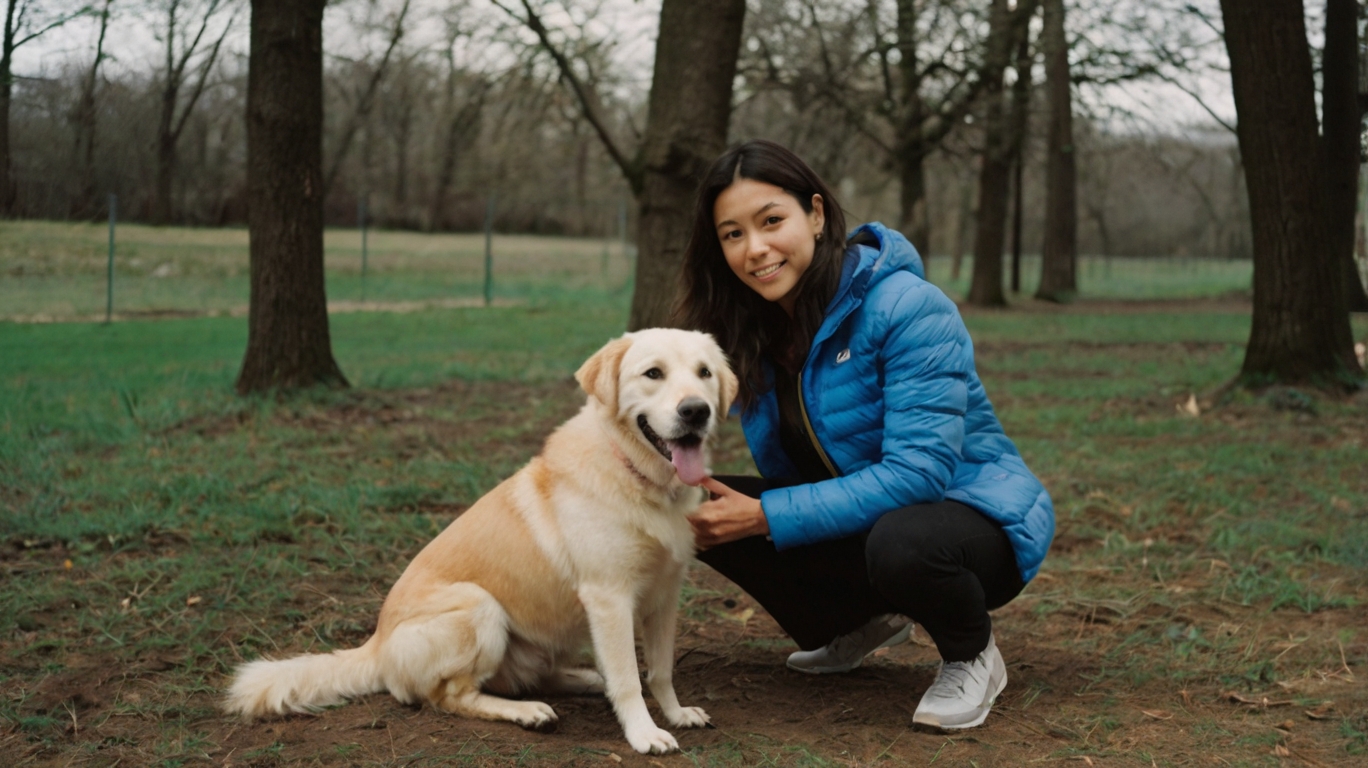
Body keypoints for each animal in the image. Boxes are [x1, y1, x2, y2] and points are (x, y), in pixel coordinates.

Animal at [224, 325, 738, 750]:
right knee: (452, 696)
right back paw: (528, 713)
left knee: (530, 677)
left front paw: (675, 713)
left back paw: (584, 681)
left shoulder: (664, 596)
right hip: (479, 606)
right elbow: (630, 679)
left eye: (704, 373)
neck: (638, 476)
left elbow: (660, 670)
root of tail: (376, 646)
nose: (696, 411)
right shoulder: (610, 598)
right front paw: (644, 734)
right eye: (653, 374)